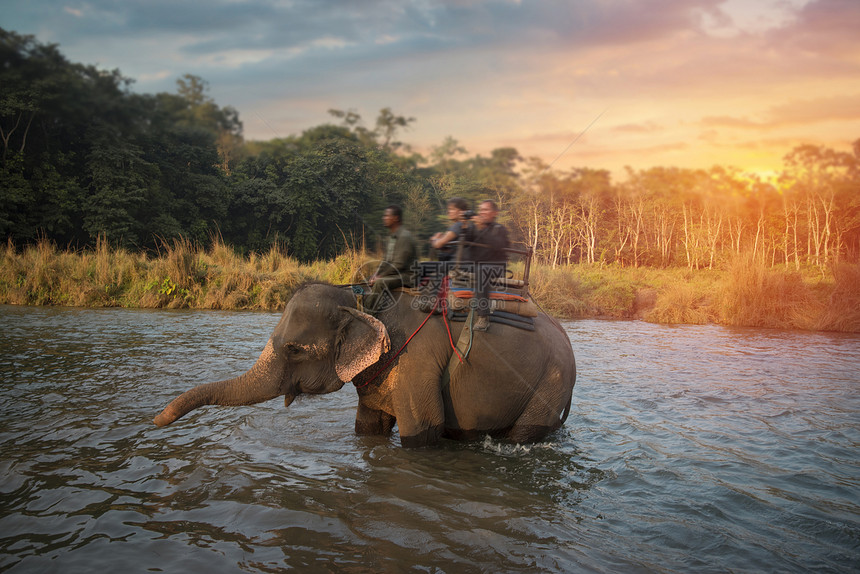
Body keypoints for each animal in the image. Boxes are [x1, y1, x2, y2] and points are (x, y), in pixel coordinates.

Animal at [155, 284, 576, 450]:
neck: (365, 305)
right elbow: (368, 430)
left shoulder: (416, 366)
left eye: (294, 349)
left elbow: (422, 432)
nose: (156, 420)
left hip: (549, 385)